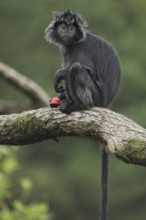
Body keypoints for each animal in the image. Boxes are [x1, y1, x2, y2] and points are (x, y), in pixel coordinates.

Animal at [44, 9, 121, 220]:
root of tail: (105, 103)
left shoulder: (79, 51)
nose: (67, 31)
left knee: (76, 69)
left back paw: (76, 105)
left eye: (71, 28)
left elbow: (84, 69)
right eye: (63, 27)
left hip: (94, 96)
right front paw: (59, 97)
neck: (71, 44)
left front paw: (60, 75)